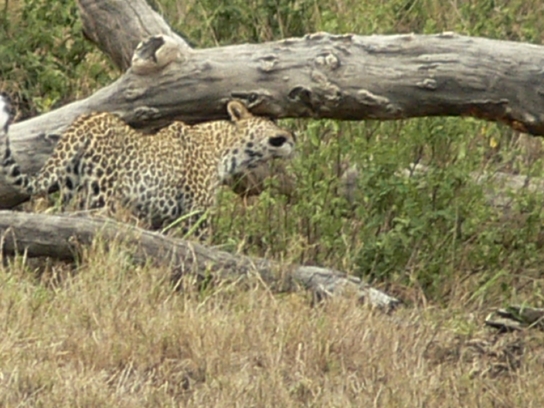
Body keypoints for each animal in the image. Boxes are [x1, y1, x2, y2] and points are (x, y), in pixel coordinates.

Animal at [2, 99, 296, 239]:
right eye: (271, 121)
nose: (293, 135)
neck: (225, 148)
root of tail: (84, 120)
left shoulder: (163, 217)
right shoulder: (197, 212)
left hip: (71, 193)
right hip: (101, 198)